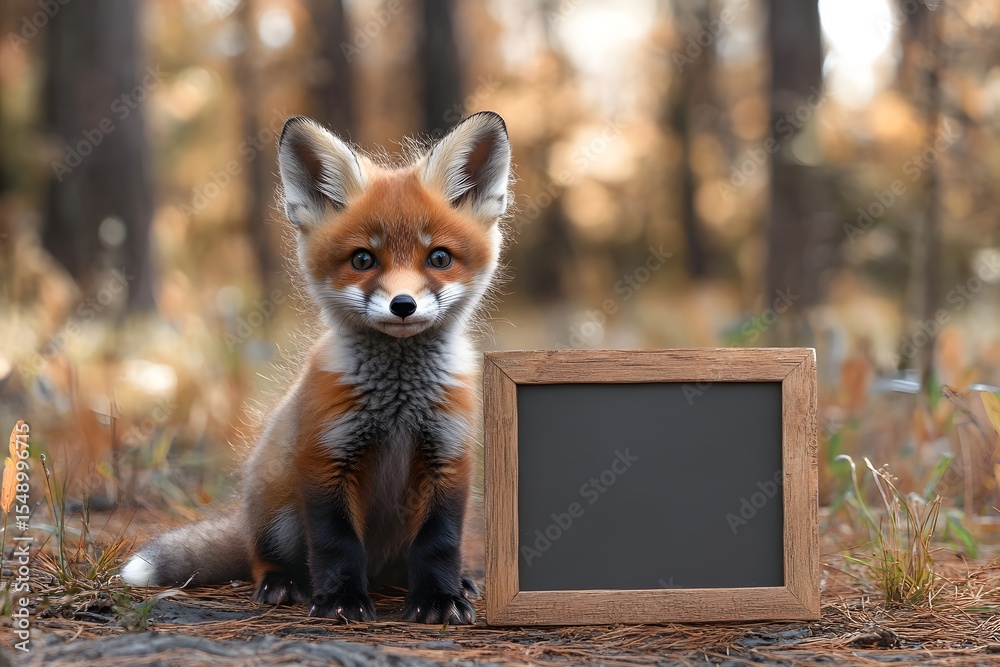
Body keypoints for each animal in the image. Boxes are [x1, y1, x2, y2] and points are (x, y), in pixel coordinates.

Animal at [120, 111, 512, 624]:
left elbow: (440, 543)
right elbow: (336, 544)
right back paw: (282, 583)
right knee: (262, 556)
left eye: (439, 257)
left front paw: (439, 598)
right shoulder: (325, 456)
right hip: (278, 512)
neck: (399, 404)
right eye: (363, 259)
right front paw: (342, 600)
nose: (402, 305)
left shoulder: (447, 457)